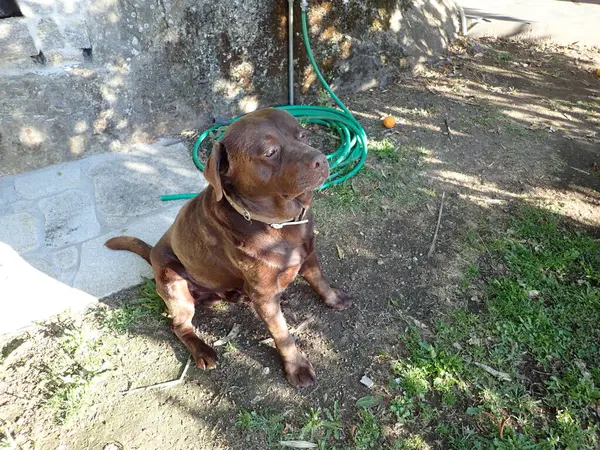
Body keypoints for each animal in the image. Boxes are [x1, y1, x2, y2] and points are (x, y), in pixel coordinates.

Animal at [105, 109, 352, 386]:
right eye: (270, 152)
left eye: (303, 135)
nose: (321, 160)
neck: (279, 223)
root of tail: (152, 253)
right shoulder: (265, 295)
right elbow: (282, 333)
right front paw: (296, 367)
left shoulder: (308, 255)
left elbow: (320, 280)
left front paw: (333, 298)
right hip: (175, 285)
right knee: (179, 326)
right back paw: (203, 351)